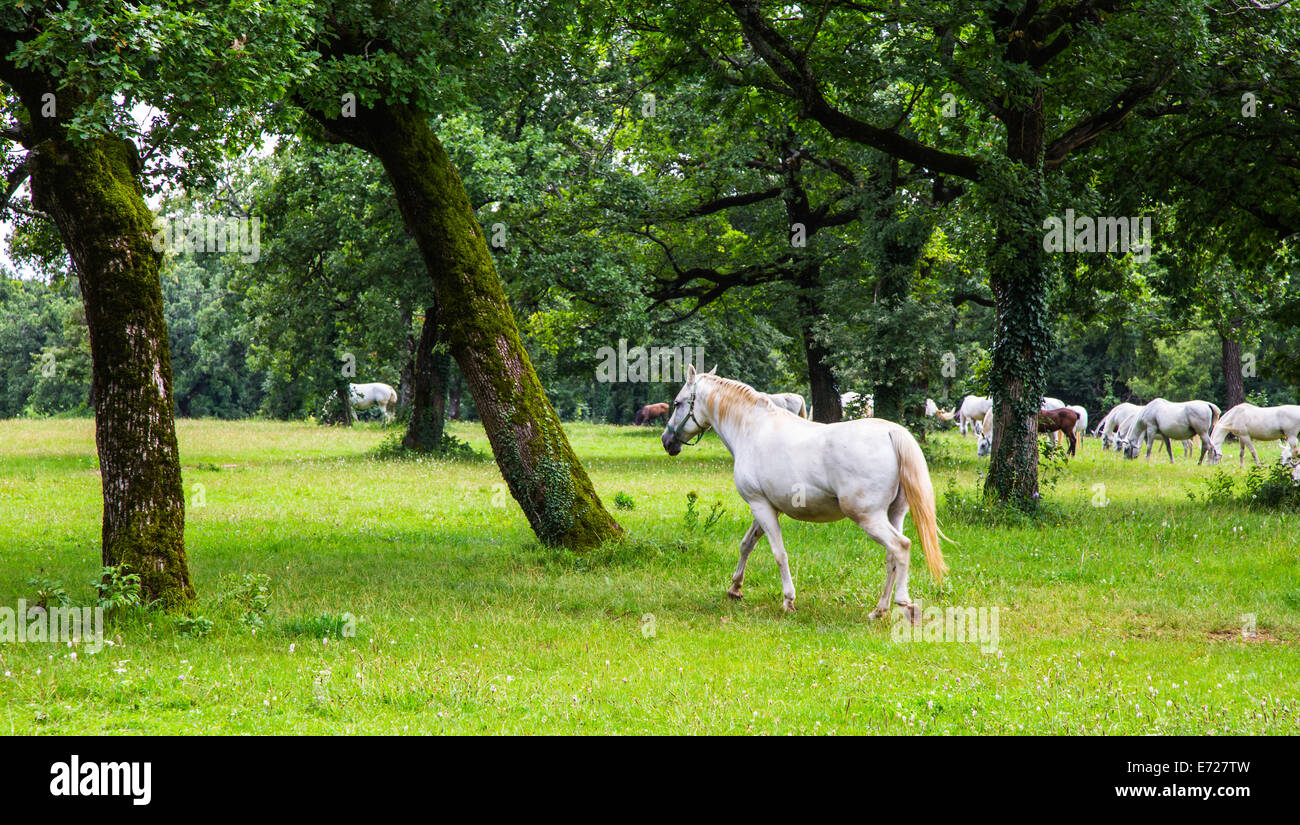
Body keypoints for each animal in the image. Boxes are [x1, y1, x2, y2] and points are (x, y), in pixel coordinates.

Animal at [661, 365, 948, 618]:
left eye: (677, 403)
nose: (667, 441)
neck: (752, 429)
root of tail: (891, 431)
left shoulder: (760, 505)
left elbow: (779, 553)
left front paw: (788, 600)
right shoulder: (767, 506)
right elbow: (747, 544)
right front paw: (735, 588)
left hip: (868, 517)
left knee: (901, 547)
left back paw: (902, 603)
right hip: (894, 514)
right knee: (892, 557)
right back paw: (879, 610)